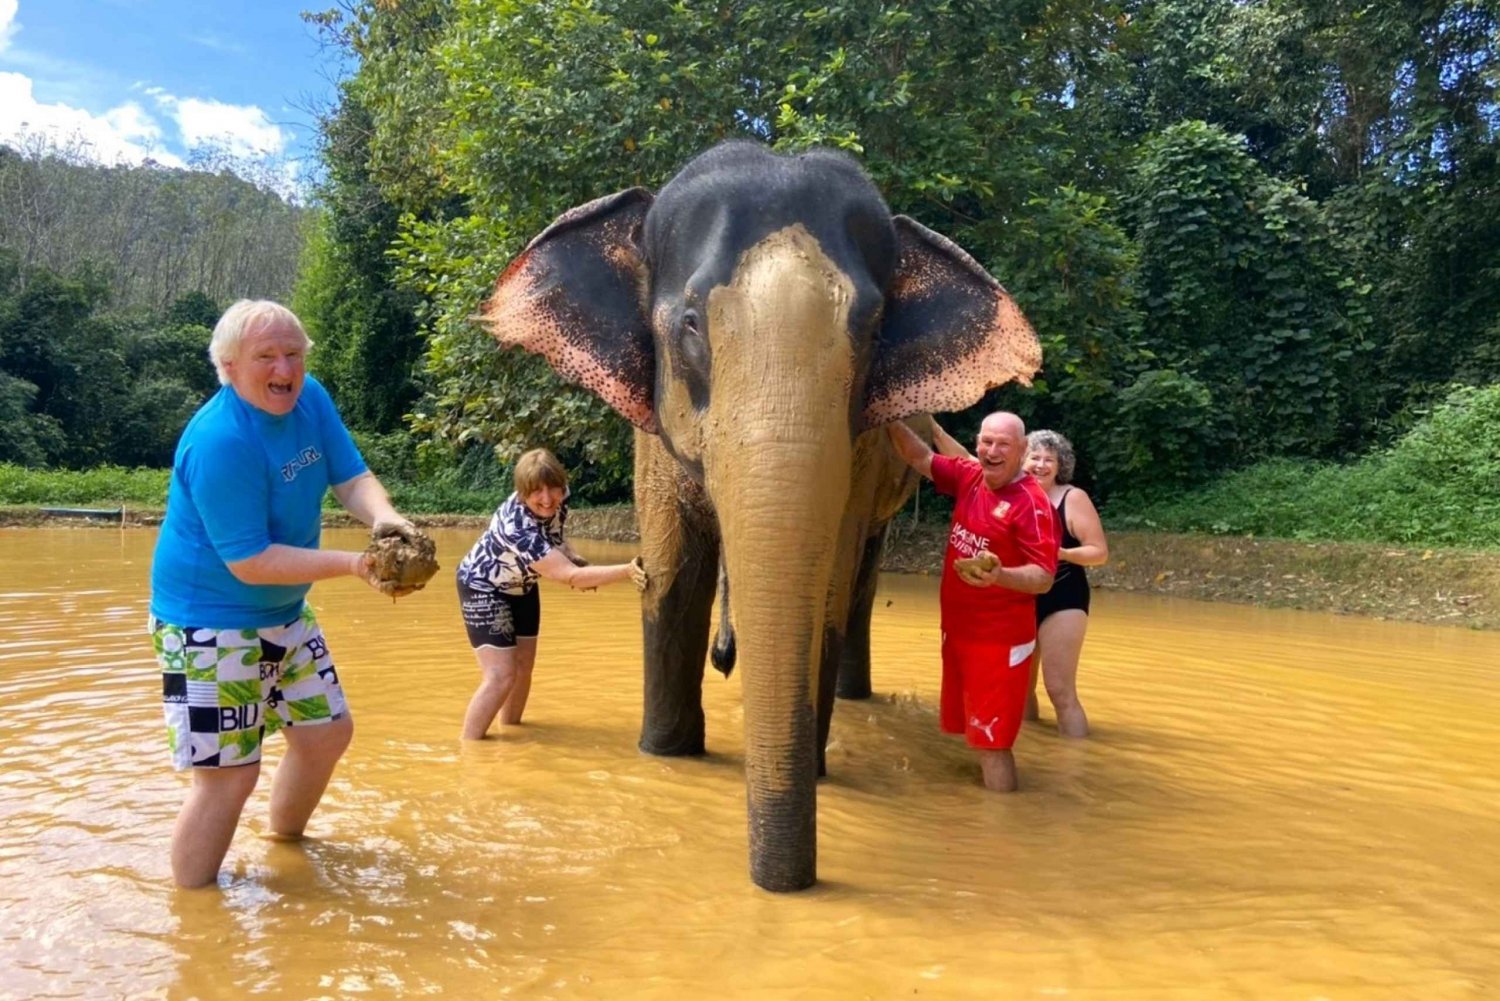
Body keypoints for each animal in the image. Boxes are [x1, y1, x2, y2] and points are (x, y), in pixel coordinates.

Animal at [483, 141, 1044, 894]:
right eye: (690, 325)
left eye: (872, 329)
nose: (789, 885)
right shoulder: (652, 439)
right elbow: (676, 580)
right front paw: (664, 754)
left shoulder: (859, 457)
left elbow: (825, 589)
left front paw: (815, 770)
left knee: (859, 581)